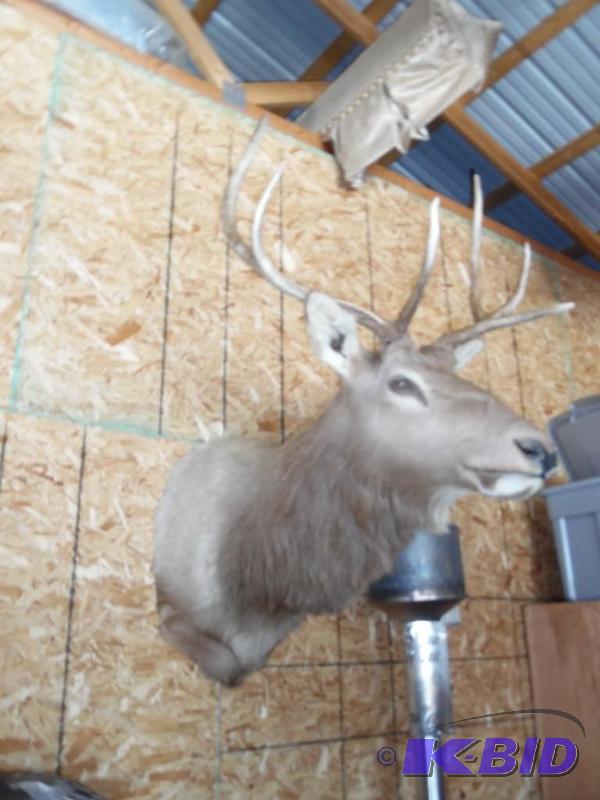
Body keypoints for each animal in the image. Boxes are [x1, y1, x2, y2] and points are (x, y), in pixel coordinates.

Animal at [154, 118, 573, 687]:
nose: (539, 448)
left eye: (456, 374)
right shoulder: (173, 603)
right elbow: (223, 664)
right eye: (401, 384)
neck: (247, 583)